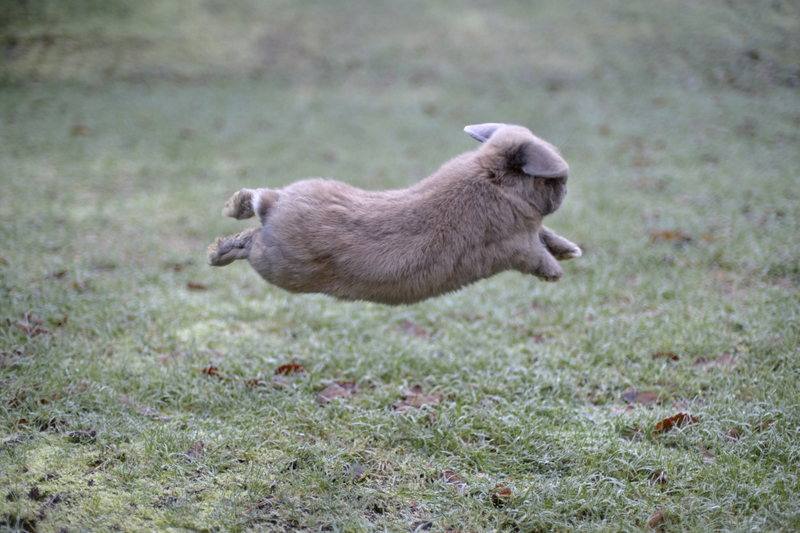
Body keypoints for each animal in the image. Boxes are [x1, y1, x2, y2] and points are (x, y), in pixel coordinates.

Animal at [206, 121, 580, 304]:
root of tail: (273, 208)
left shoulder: (532, 232)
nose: (564, 191)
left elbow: (548, 236)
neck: (494, 177)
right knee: (248, 241)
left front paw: (571, 251)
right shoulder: (518, 244)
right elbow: (537, 254)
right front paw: (556, 272)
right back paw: (216, 254)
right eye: (551, 179)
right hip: (278, 265)